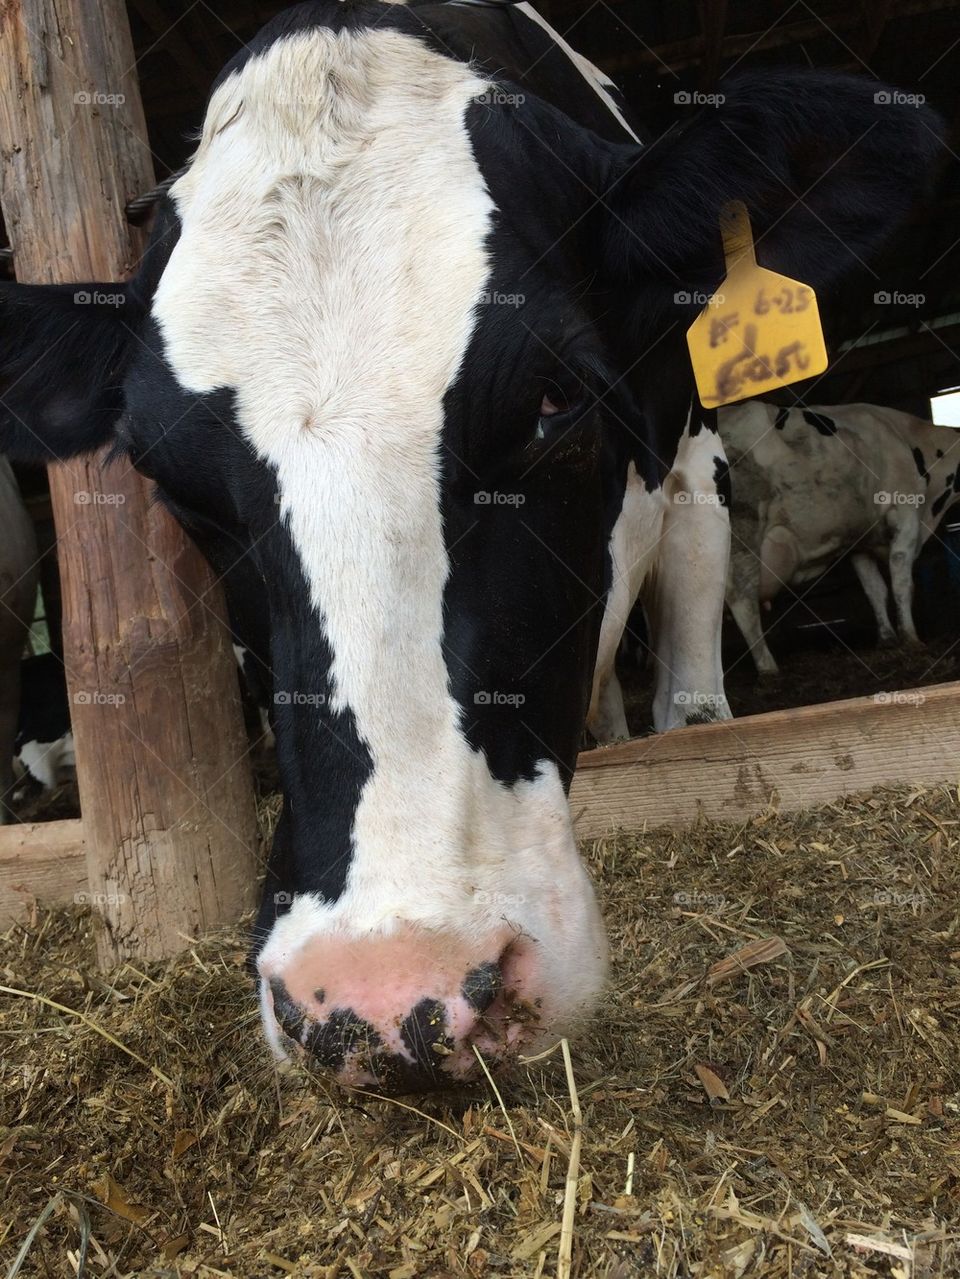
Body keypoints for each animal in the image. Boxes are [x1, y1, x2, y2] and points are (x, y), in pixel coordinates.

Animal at [719, 401, 960, 675]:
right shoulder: (906, 511)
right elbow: (901, 582)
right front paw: (911, 639)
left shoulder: (859, 539)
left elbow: (874, 589)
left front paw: (887, 638)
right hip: (744, 536)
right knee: (743, 601)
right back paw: (768, 668)